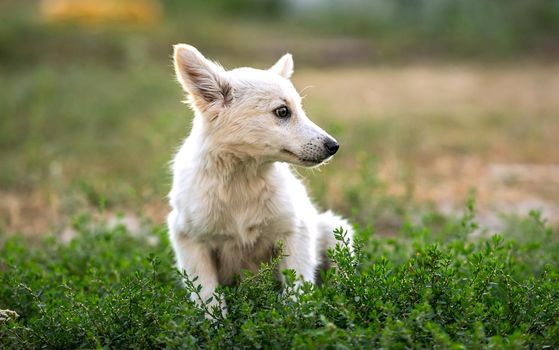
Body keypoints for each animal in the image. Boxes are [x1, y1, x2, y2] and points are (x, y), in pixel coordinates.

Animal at [168, 44, 354, 314]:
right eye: (283, 111)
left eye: (300, 109)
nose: (334, 146)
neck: (241, 180)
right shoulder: (190, 240)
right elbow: (208, 296)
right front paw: (217, 325)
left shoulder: (295, 231)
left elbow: (298, 288)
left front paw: (296, 320)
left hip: (335, 231)